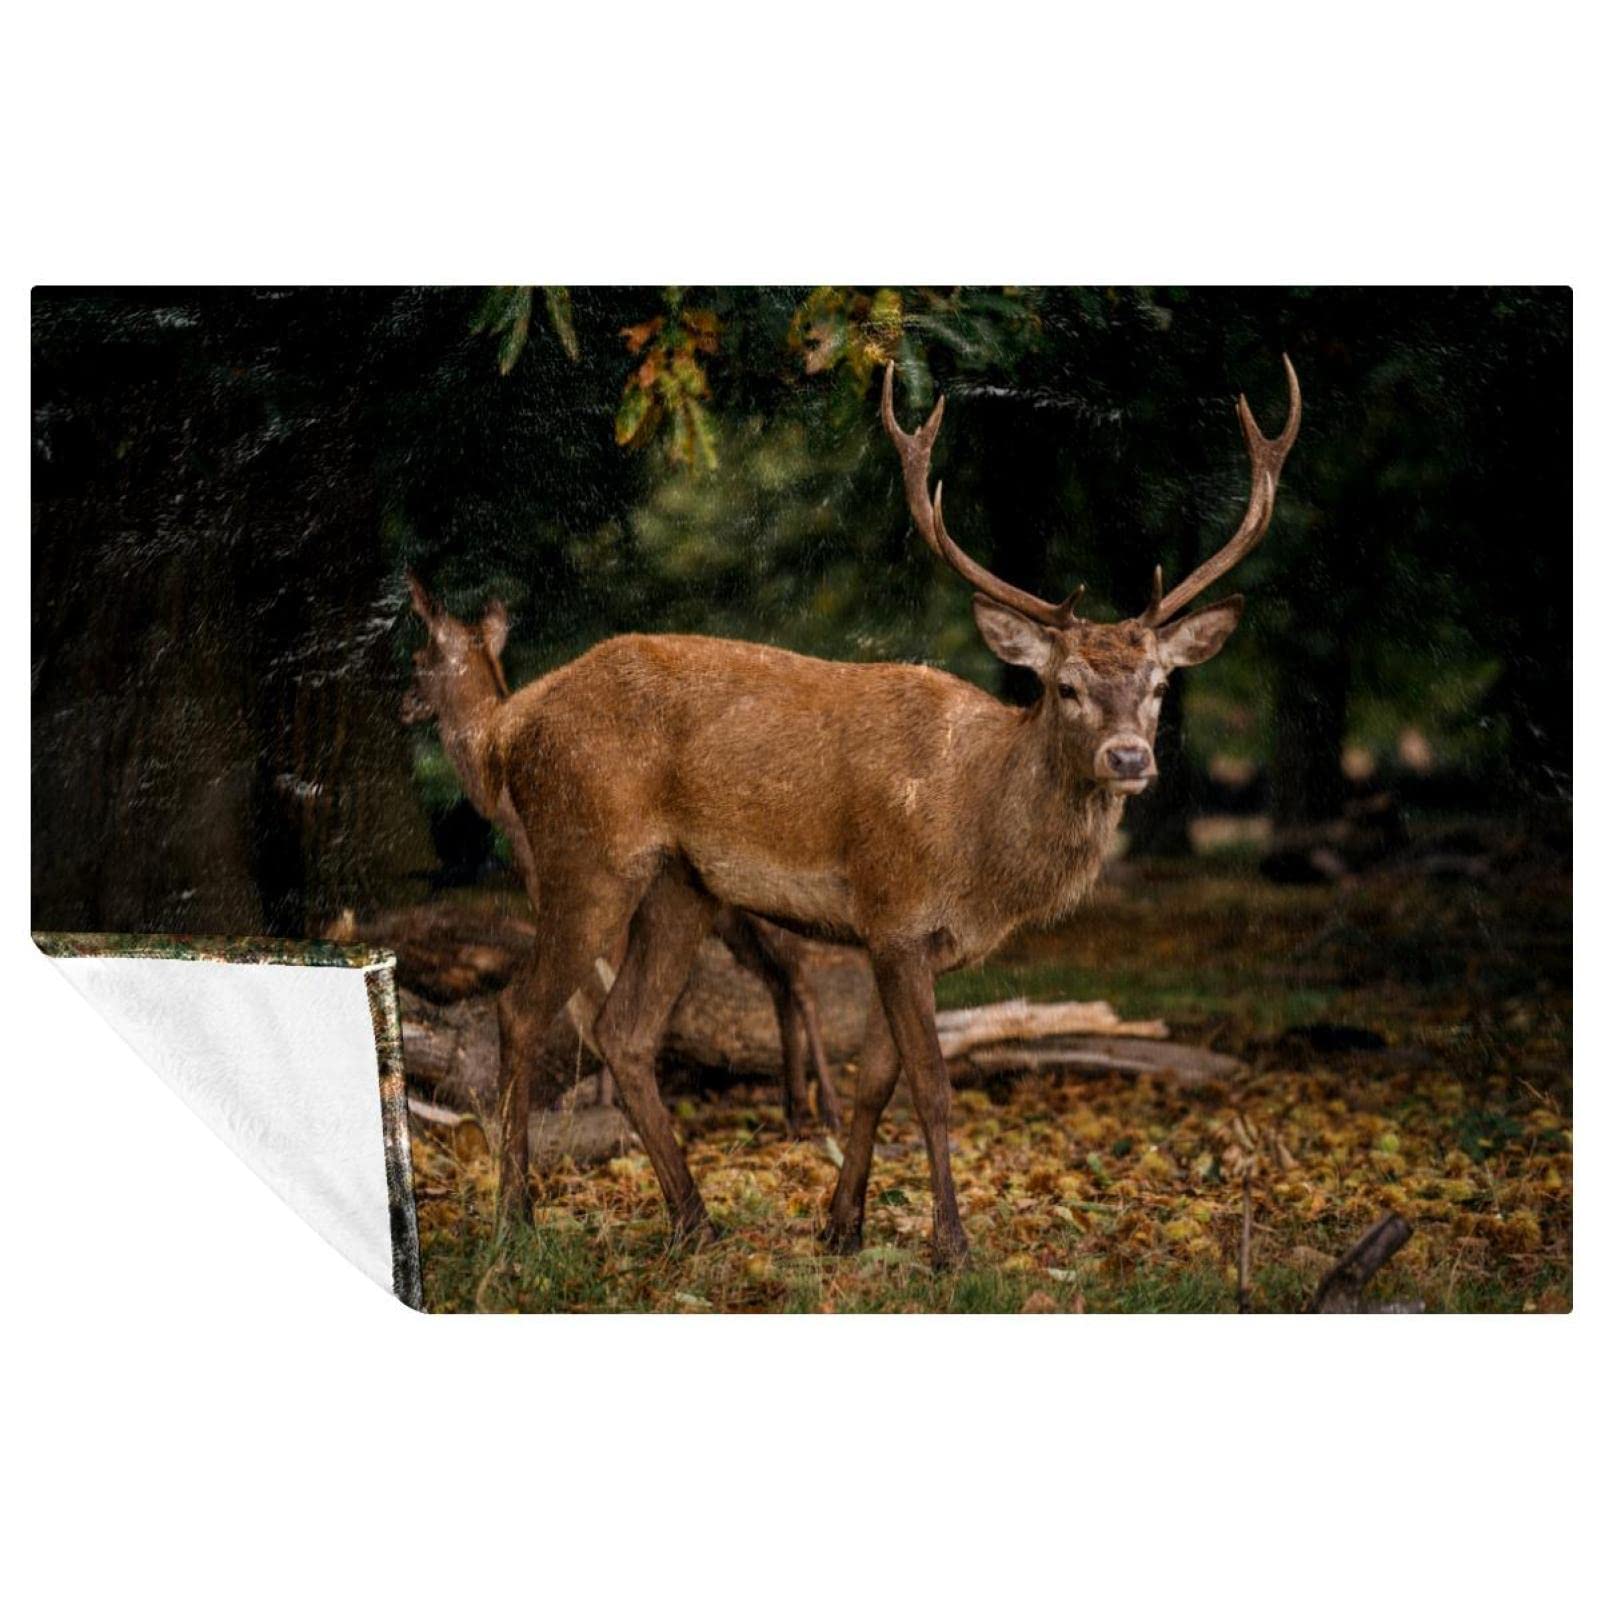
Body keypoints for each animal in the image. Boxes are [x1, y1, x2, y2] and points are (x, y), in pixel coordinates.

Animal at [402, 578, 844, 1135]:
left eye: (419, 658)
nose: (404, 704)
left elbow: (595, 994)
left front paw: (599, 1104)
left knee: (800, 978)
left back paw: (829, 1107)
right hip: (731, 911)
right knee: (780, 980)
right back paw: (795, 1109)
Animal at [472, 355, 1300, 1266]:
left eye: (1157, 685)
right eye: (1066, 686)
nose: (1128, 757)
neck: (978, 843)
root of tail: (509, 724)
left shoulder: (894, 935)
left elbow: (874, 1081)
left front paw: (842, 1226)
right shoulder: (897, 912)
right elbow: (933, 1087)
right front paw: (951, 1245)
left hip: (679, 884)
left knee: (624, 1031)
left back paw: (694, 1219)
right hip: (584, 852)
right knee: (519, 1008)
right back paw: (515, 1217)